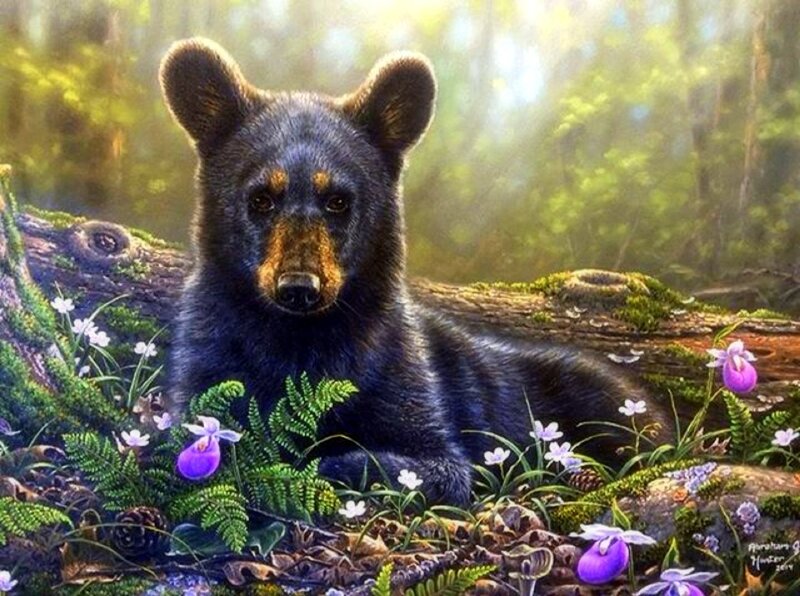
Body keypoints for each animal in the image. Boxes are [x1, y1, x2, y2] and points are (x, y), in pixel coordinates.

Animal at [160, 38, 673, 505]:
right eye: (261, 198)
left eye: (338, 200)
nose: (299, 287)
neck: (298, 341)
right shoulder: (211, 363)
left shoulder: (401, 371)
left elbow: (436, 463)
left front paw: (311, 466)